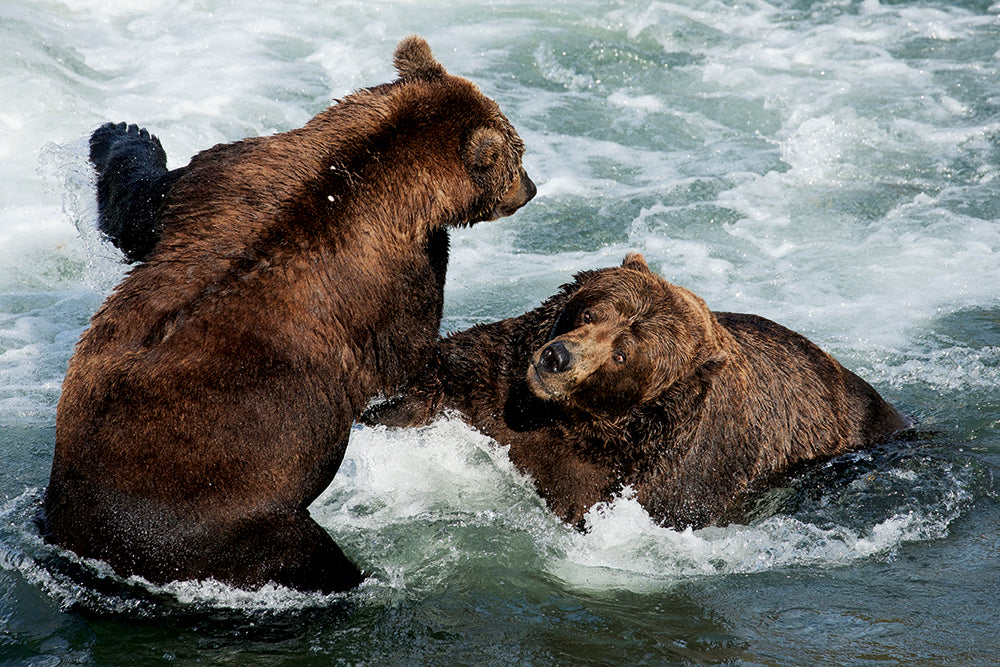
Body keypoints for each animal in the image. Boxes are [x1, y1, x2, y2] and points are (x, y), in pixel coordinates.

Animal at [42, 35, 535, 594]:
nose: (532, 187)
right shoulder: (396, 281)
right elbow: (402, 361)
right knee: (304, 554)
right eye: (518, 153)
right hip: (226, 519)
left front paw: (120, 131)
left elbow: (144, 206)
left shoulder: (229, 177)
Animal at [366, 254, 907, 530]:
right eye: (590, 311)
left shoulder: (666, 474)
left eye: (623, 354)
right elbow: (440, 380)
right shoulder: (497, 380)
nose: (556, 358)